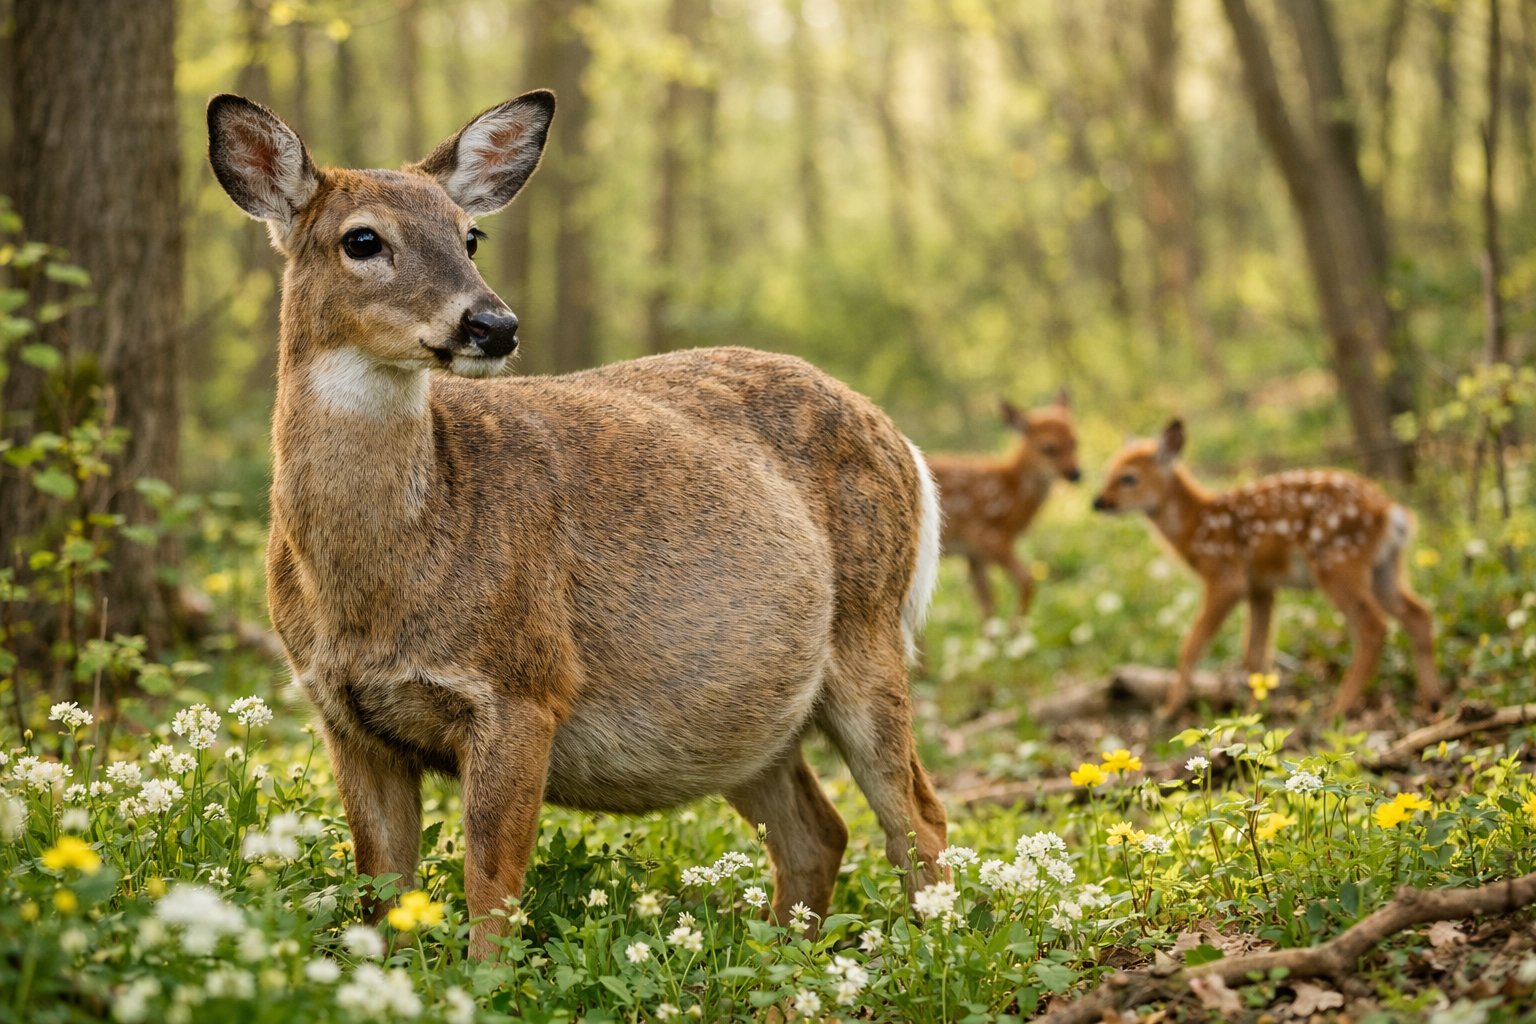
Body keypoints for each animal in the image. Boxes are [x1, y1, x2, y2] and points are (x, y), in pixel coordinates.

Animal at [206, 90, 948, 958]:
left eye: (470, 234)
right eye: (362, 239)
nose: (494, 325)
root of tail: (904, 443)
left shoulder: (524, 682)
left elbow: (491, 886)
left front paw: (485, 977)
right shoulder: (343, 715)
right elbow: (380, 894)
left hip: (870, 627)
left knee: (918, 818)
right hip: (749, 713)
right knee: (819, 832)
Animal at [928, 394, 1080, 621]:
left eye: (1075, 441)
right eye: (1048, 448)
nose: (1076, 474)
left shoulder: (974, 554)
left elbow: (987, 605)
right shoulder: (990, 537)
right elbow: (1026, 580)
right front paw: (1016, 629)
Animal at [1091, 419, 1442, 718]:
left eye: (1128, 477)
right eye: (1108, 471)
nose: (1098, 502)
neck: (1196, 525)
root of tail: (1391, 512)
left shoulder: (1224, 575)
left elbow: (1192, 644)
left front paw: (1167, 711)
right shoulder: (1261, 586)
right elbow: (1255, 654)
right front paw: (1252, 714)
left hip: (1336, 561)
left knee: (1373, 626)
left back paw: (1337, 710)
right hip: (1385, 567)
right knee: (1418, 613)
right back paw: (1432, 702)